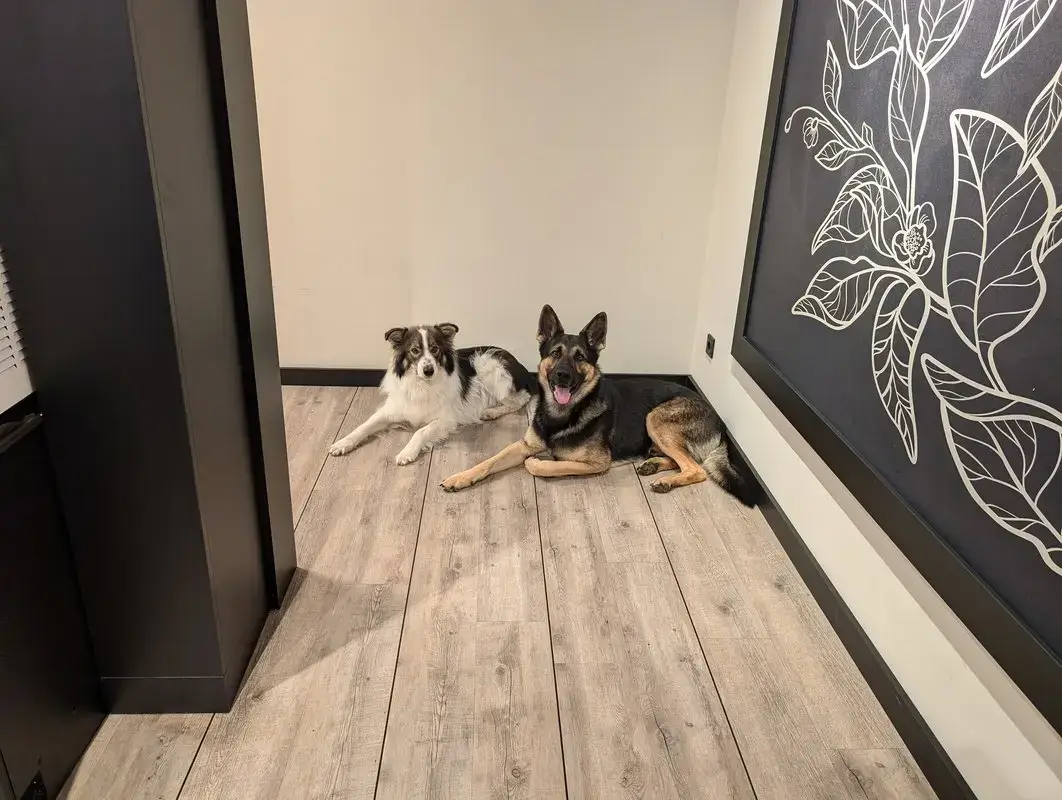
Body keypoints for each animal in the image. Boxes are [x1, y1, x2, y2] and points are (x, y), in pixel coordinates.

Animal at [328, 323, 536, 465]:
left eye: (435, 349)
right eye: (414, 350)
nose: (428, 370)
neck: (422, 384)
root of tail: (523, 368)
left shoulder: (446, 419)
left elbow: (420, 431)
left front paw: (407, 452)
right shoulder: (391, 410)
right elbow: (364, 426)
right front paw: (342, 443)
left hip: (491, 366)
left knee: (520, 399)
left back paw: (491, 412)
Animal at [440, 305, 761, 504]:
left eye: (580, 357)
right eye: (555, 353)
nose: (562, 375)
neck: (562, 416)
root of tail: (719, 423)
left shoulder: (595, 463)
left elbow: (549, 466)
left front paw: (538, 463)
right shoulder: (525, 444)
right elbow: (489, 461)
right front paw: (460, 478)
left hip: (656, 418)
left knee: (697, 469)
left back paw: (666, 480)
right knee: (686, 459)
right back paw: (654, 465)